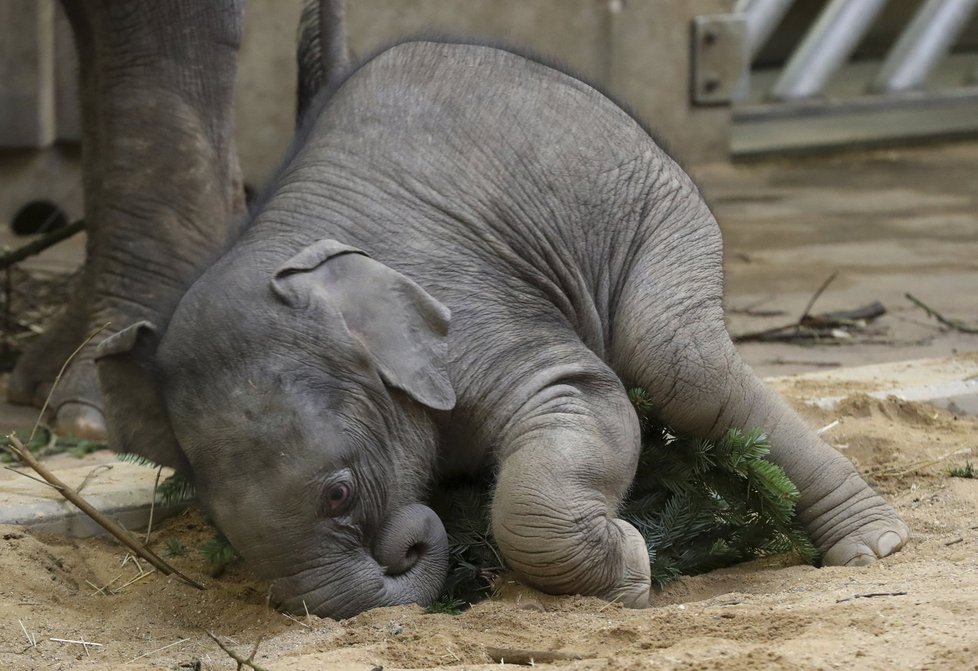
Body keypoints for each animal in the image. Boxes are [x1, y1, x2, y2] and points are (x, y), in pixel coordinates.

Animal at [93, 40, 908, 620]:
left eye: (338, 495)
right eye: (220, 526)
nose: (411, 540)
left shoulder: (476, 312)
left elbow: (587, 399)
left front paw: (631, 568)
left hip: (661, 207)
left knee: (679, 365)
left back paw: (876, 547)